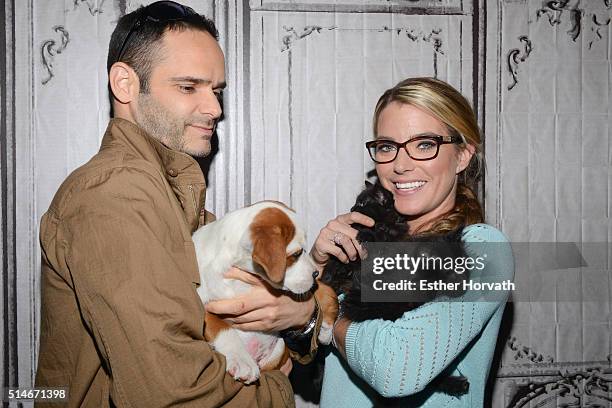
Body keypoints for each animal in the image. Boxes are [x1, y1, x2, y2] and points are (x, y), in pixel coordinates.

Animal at [192, 201, 332, 382]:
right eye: (296, 254)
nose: (315, 273)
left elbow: (321, 291)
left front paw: (327, 324)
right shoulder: (202, 305)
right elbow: (222, 326)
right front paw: (242, 360)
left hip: (279, 349)